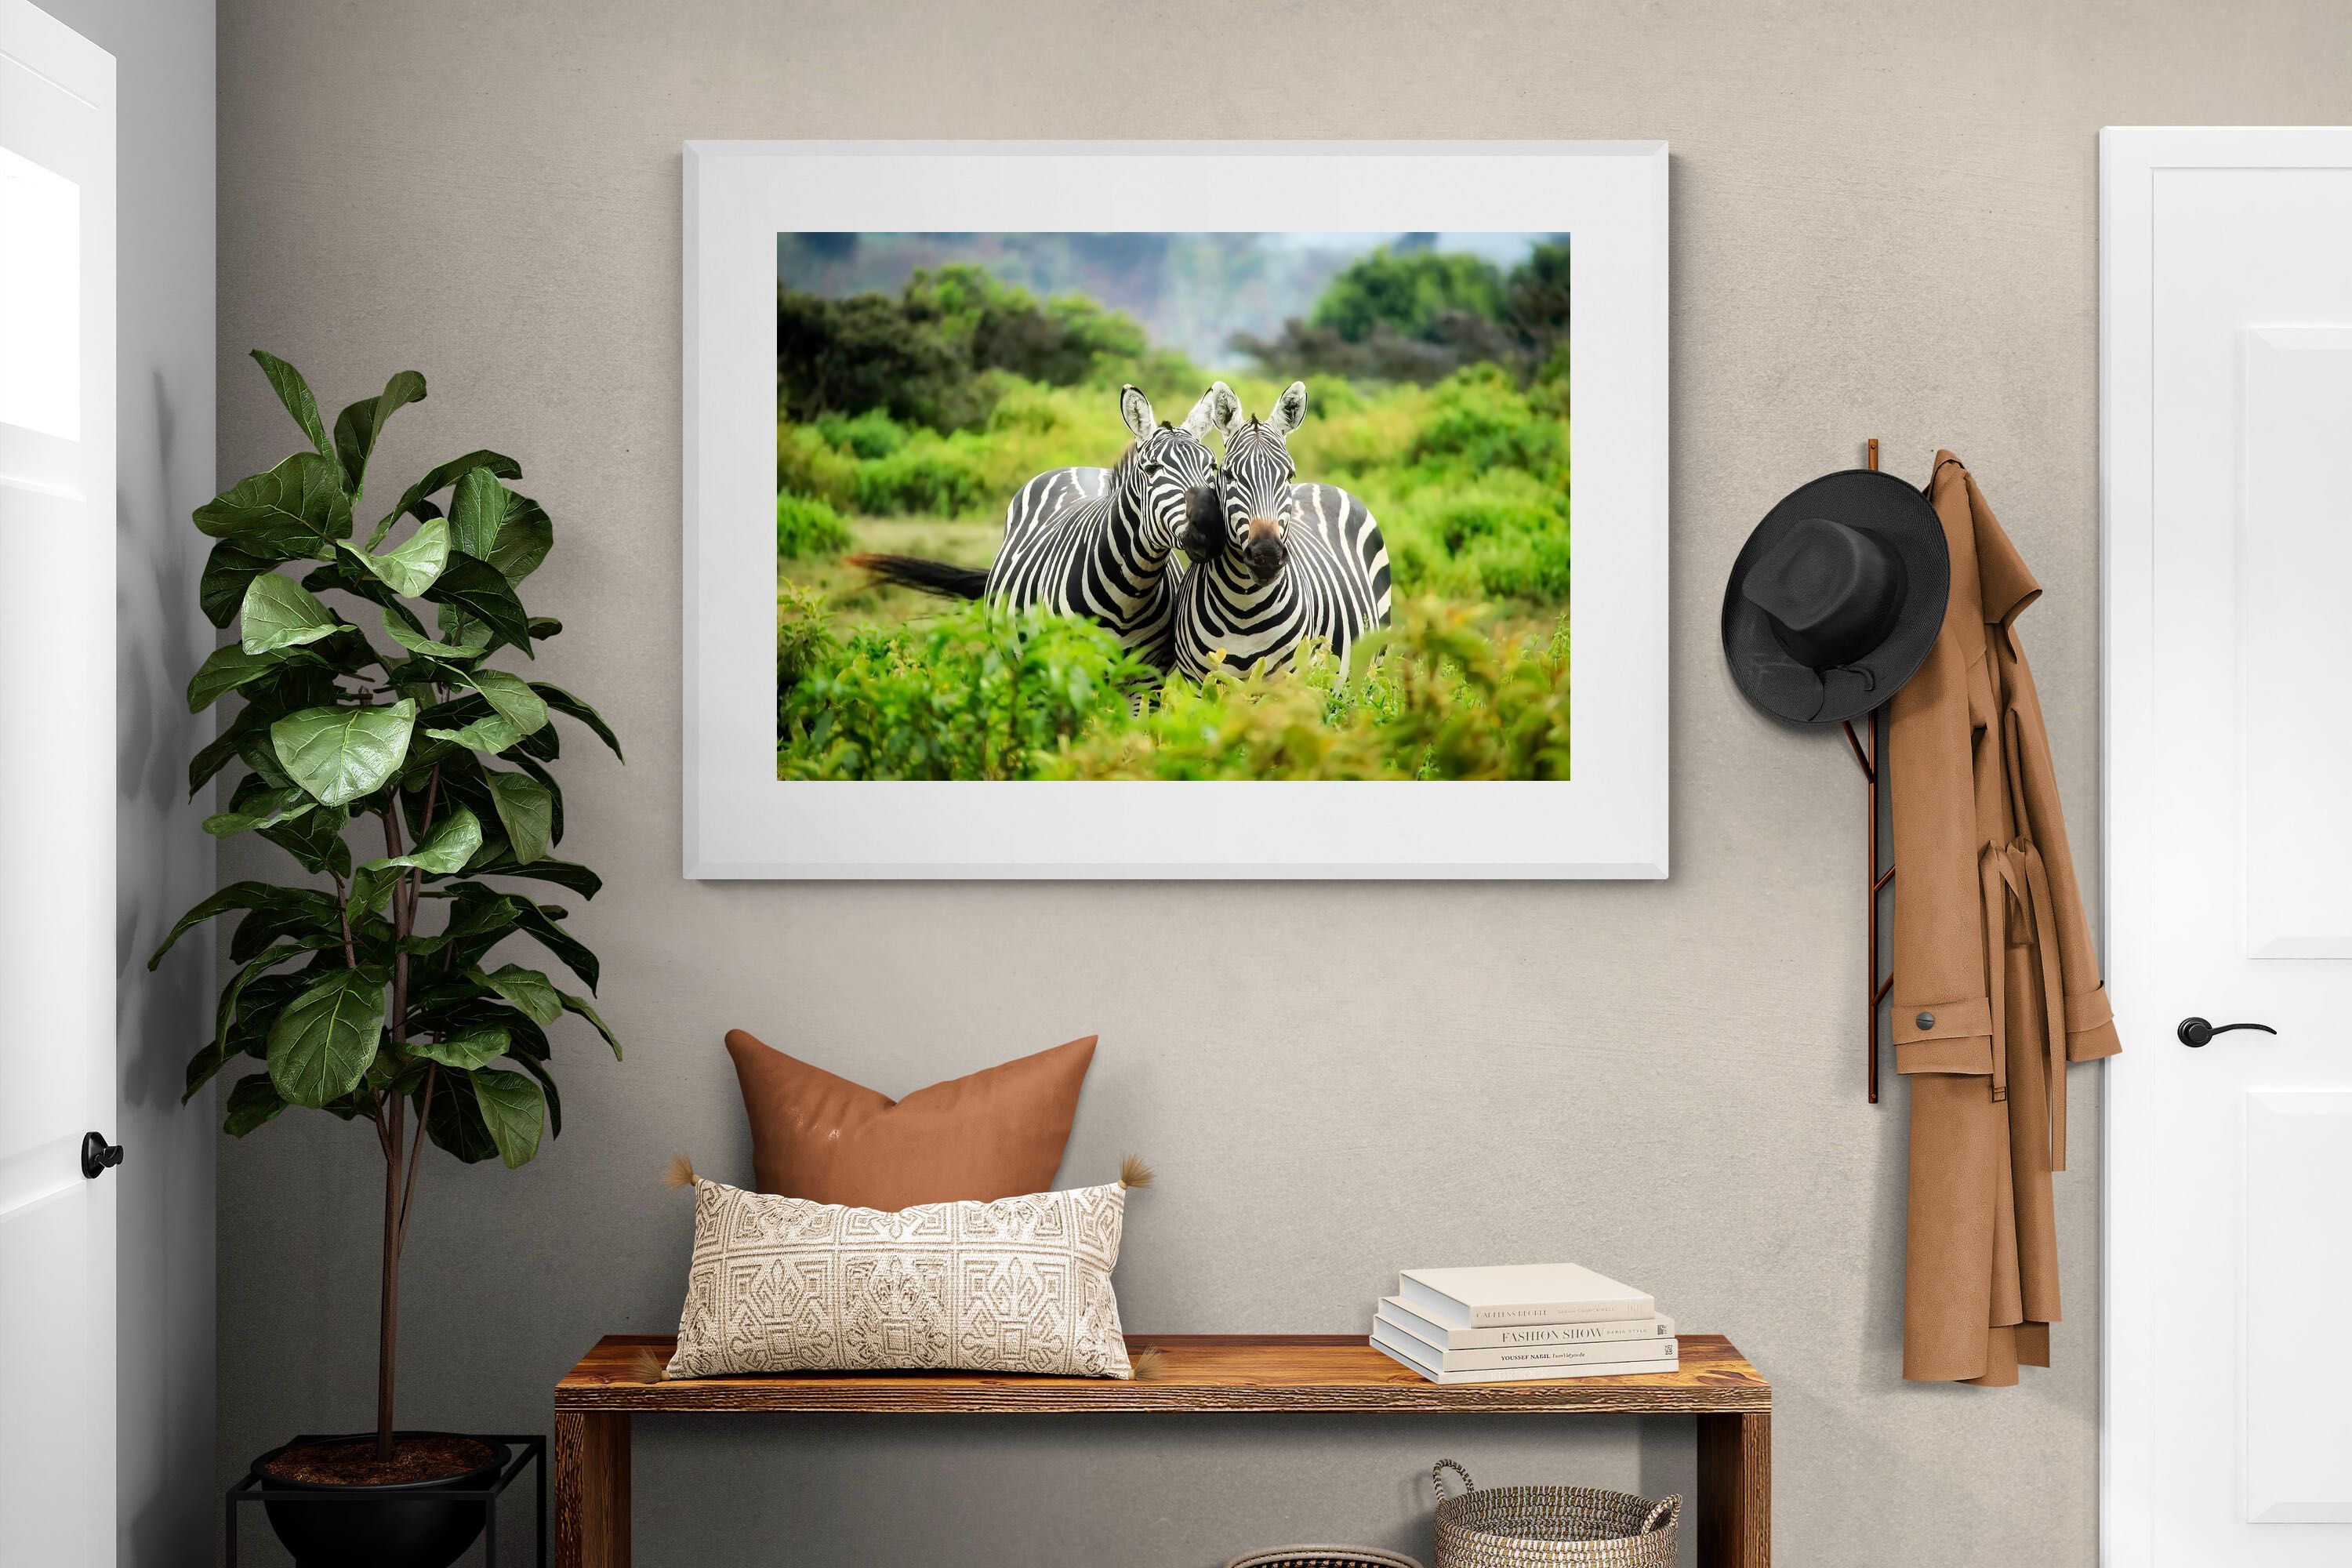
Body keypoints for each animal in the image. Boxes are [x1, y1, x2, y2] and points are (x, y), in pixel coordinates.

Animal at [849, 385, 1220, 675]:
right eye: (1152, 468)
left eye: (1212, 467)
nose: (1209, 526)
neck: (1131, 592)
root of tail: (1079, 468)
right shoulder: (1070, 669)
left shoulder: (1146, 679)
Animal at [1169, 379, 1393, 681]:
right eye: (1228, 475)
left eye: (1289, 475)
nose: (1266, 556)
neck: (1243, 608)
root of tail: (1323, 485)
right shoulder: (1202, 682)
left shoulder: (1289, 679)